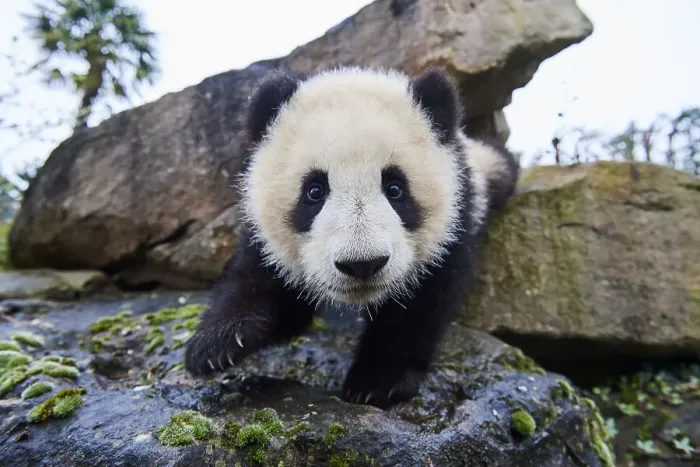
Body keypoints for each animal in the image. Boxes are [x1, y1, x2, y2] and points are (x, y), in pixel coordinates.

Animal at [184, 66, 520, 408]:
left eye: (395, 188)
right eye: (314, 191)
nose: (362, 264)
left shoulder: (453, 222)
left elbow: (422, 301)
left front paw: (377, 381)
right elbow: (265, 285)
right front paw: (218, 343)